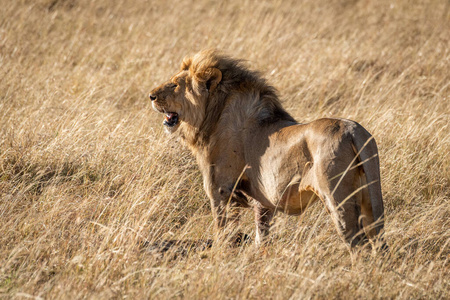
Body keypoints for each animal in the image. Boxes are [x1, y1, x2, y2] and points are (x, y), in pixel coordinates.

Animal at [149, 49, 384, 248]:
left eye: (174, 85)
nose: (151, 96)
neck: (212, 114)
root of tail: (354, 130)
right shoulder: (262, 197)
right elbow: (261, 232)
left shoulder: (219, 188)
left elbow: (222, 228)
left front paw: (221, 253)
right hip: (370, 198)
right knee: (377, 239)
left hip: (337, 196)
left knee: (357, 240)